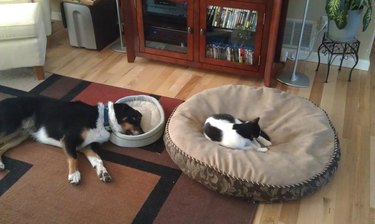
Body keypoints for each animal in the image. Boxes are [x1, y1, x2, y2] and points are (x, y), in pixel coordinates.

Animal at [0, 96, 143, 184]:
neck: (103, 120)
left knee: (2, 147)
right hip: (10, 127)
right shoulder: (69, 139)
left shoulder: (88, 145)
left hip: (20, 135)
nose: (142, 133)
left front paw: (103, 173)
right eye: (135, 117)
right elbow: (74, 157)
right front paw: (74, 174)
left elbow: (98, 160)